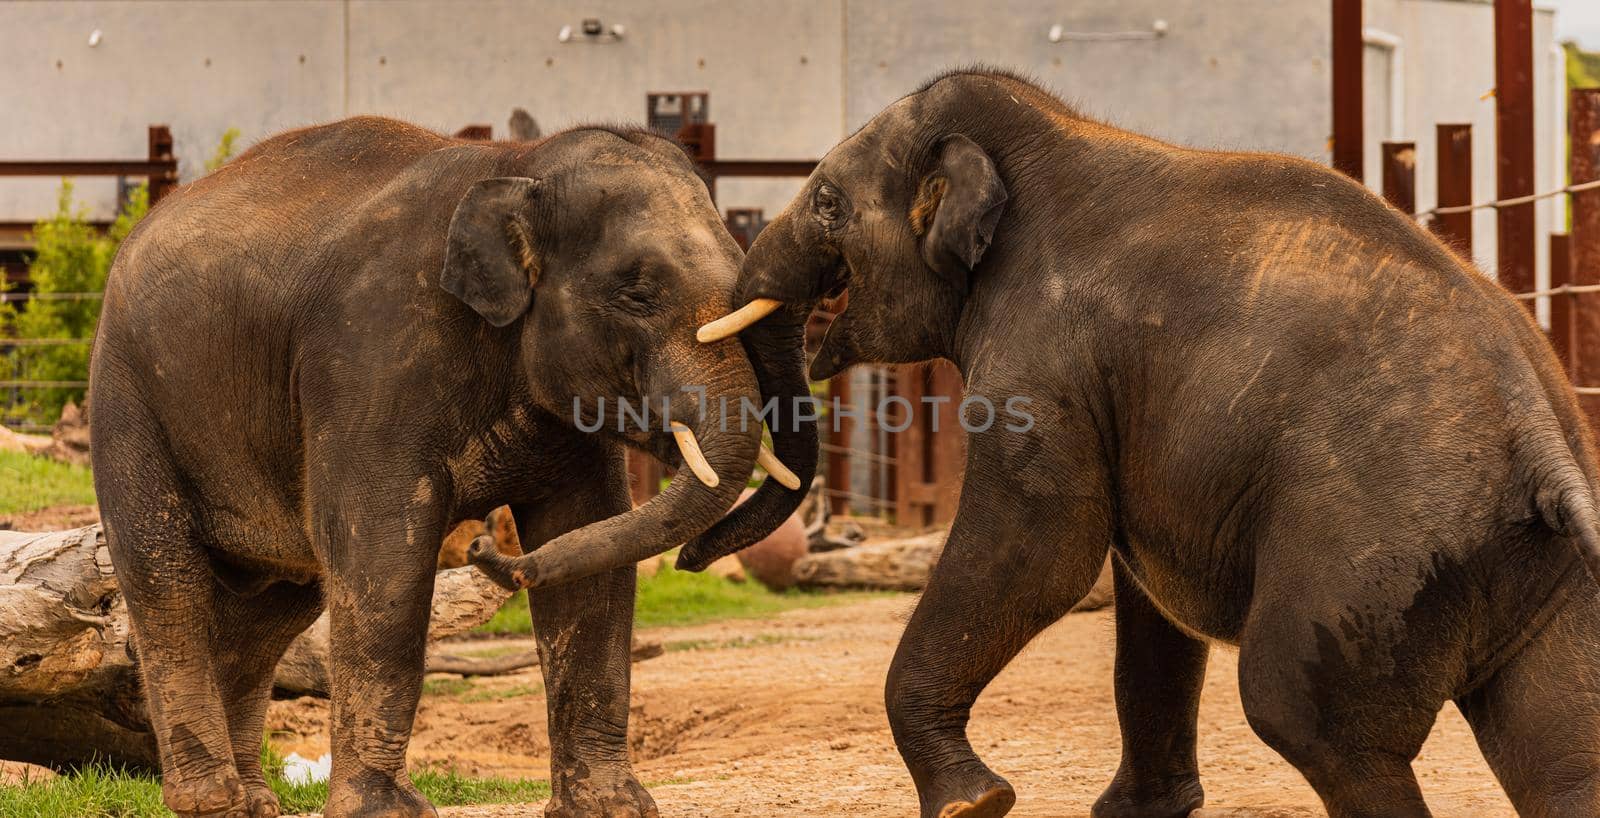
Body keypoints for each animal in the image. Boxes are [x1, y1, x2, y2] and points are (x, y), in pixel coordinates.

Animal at [86, 115, 812, 818]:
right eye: (637, 292)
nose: (488, 549)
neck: (518, 164)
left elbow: (589, 551)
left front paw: (613, 807)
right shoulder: (373, 359)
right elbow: (383, 558)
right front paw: (386, 811)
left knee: (273, 610)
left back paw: (253, 805)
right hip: (126, 400)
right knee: (167, 579)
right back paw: (209, 800)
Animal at [704, 67, 1600, 816]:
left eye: (826, 202)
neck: (1048, 137)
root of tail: (1541, 438)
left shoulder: (1043, 360)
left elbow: (1043, 550)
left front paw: (973, 804)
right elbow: (1142, 595)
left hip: (1370, 550)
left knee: (1310, 718)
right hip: (1526, 571)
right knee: (1561, 756)